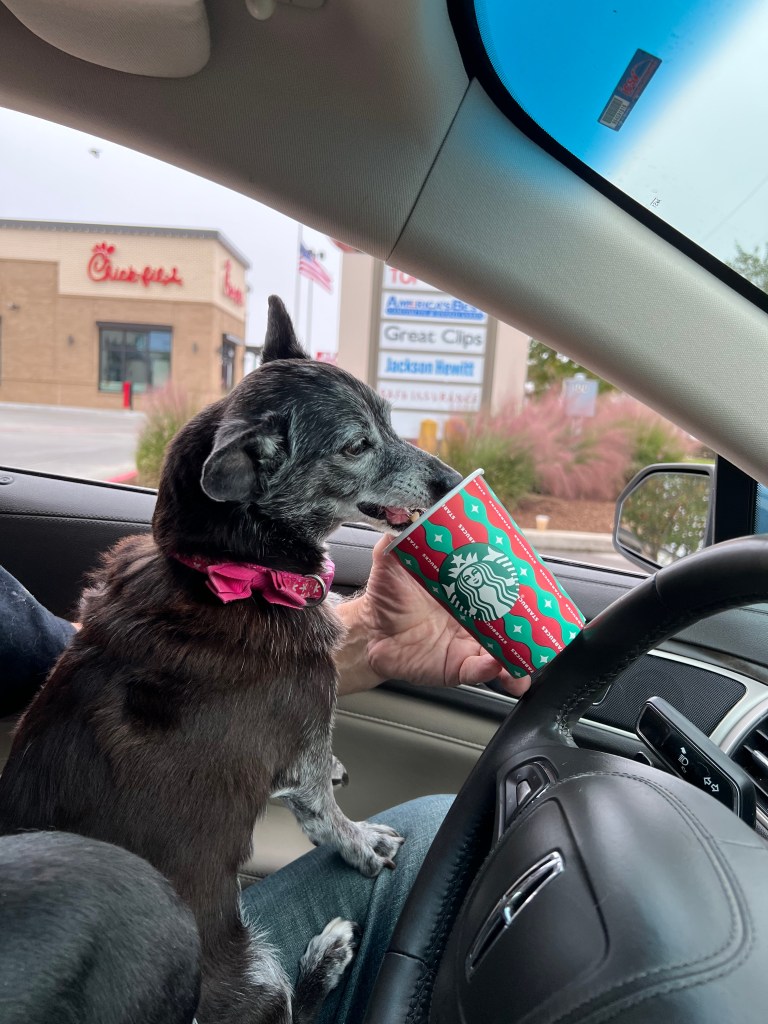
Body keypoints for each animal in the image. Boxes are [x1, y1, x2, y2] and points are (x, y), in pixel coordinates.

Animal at [0, 295, 462, 1024]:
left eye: (391, 421)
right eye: (356, 445)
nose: (449, 480)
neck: (233, 571)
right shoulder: (303, 746)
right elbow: (326, 819)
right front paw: (363, 842)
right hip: (252, 975)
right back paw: (326, 955)